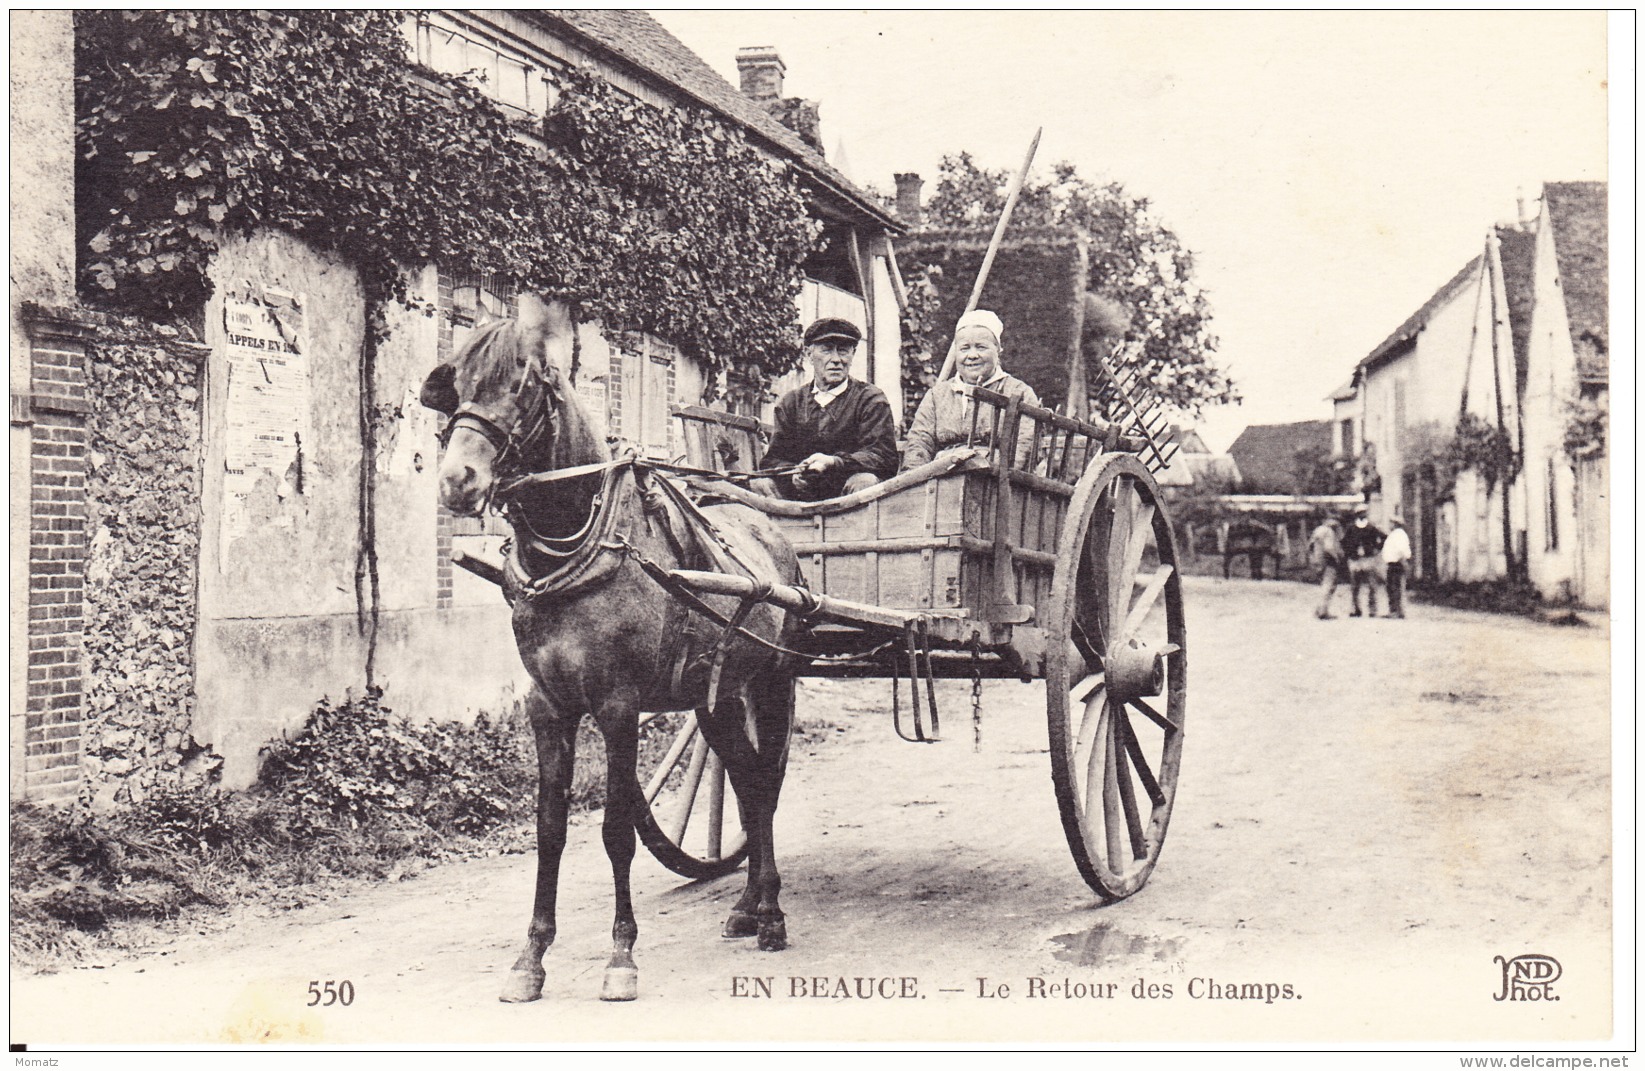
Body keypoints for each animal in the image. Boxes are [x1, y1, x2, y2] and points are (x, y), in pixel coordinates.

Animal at [421, 296, 806, 1006]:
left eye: (521, 385)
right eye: (456, 385)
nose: (458, 481)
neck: (574, 555)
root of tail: (765, 524)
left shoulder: (618, 707)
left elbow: (616, 830)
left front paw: (621, 956)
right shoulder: (548, 709)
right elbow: (549, 830)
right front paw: (531, 958)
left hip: (772, 681)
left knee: (765, 784)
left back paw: (770, 911)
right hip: (713, 700)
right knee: (742, 781)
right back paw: (746, 905)